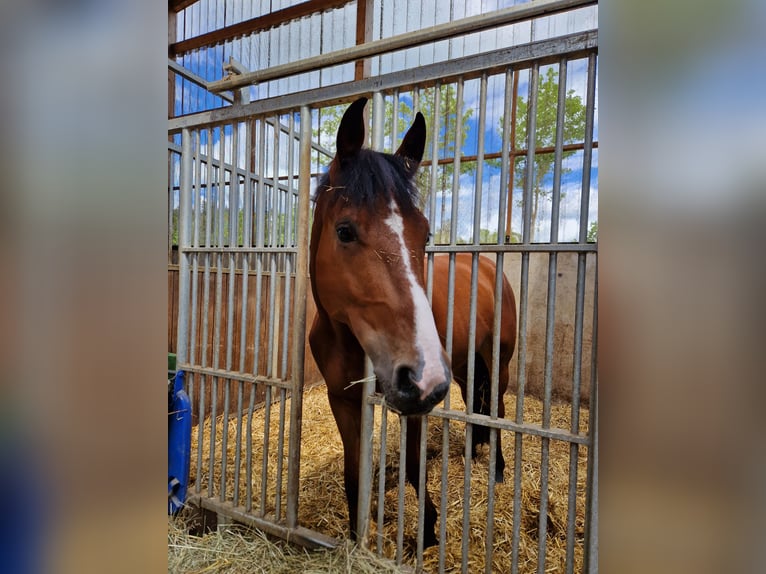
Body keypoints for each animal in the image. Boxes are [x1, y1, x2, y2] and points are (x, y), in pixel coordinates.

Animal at [308, 99, 520, 548]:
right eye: (345, 231)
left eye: (423, 235)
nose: (423, 374)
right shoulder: (343, 400)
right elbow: (354, 475)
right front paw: (356, 538)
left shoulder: (417, 404)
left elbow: (414, 467)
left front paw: (427, 533)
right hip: (464, 364)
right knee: (475, 400)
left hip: (496, 361)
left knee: (495, 406)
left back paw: (496, 468)